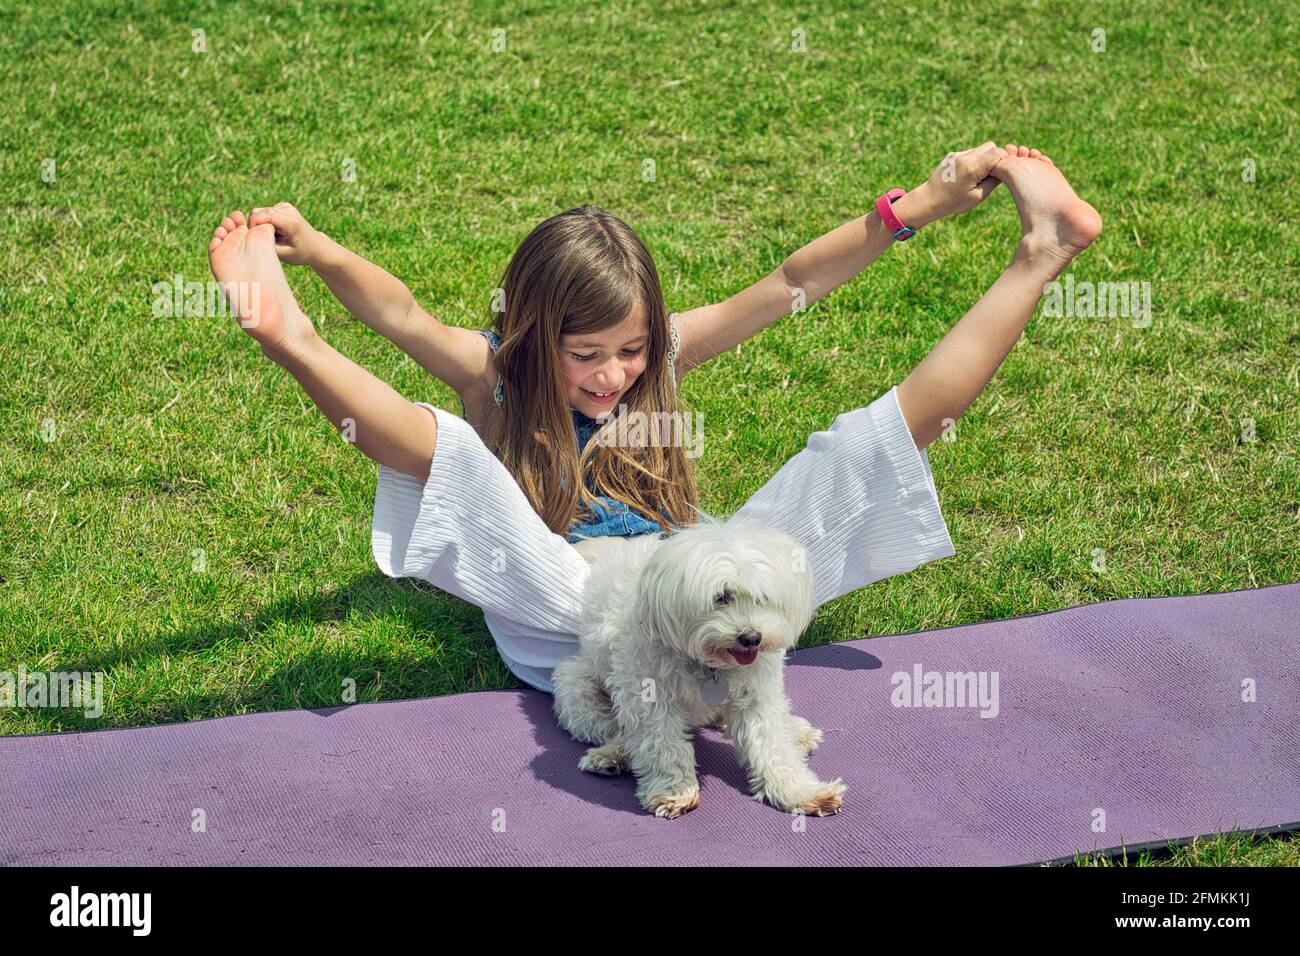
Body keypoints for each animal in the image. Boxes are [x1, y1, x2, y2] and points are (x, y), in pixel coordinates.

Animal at [556, 520, 842, 816]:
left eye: (762, 597)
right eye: (721, 597)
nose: (752, 638)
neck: (710, 664)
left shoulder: (756, 694)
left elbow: (772, 743)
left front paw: (797, 790)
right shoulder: (648, 694)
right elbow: (661, 743)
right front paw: (673, 790)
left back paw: (796, 731)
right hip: (577, 692)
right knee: (614, 728)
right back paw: (612, 754)